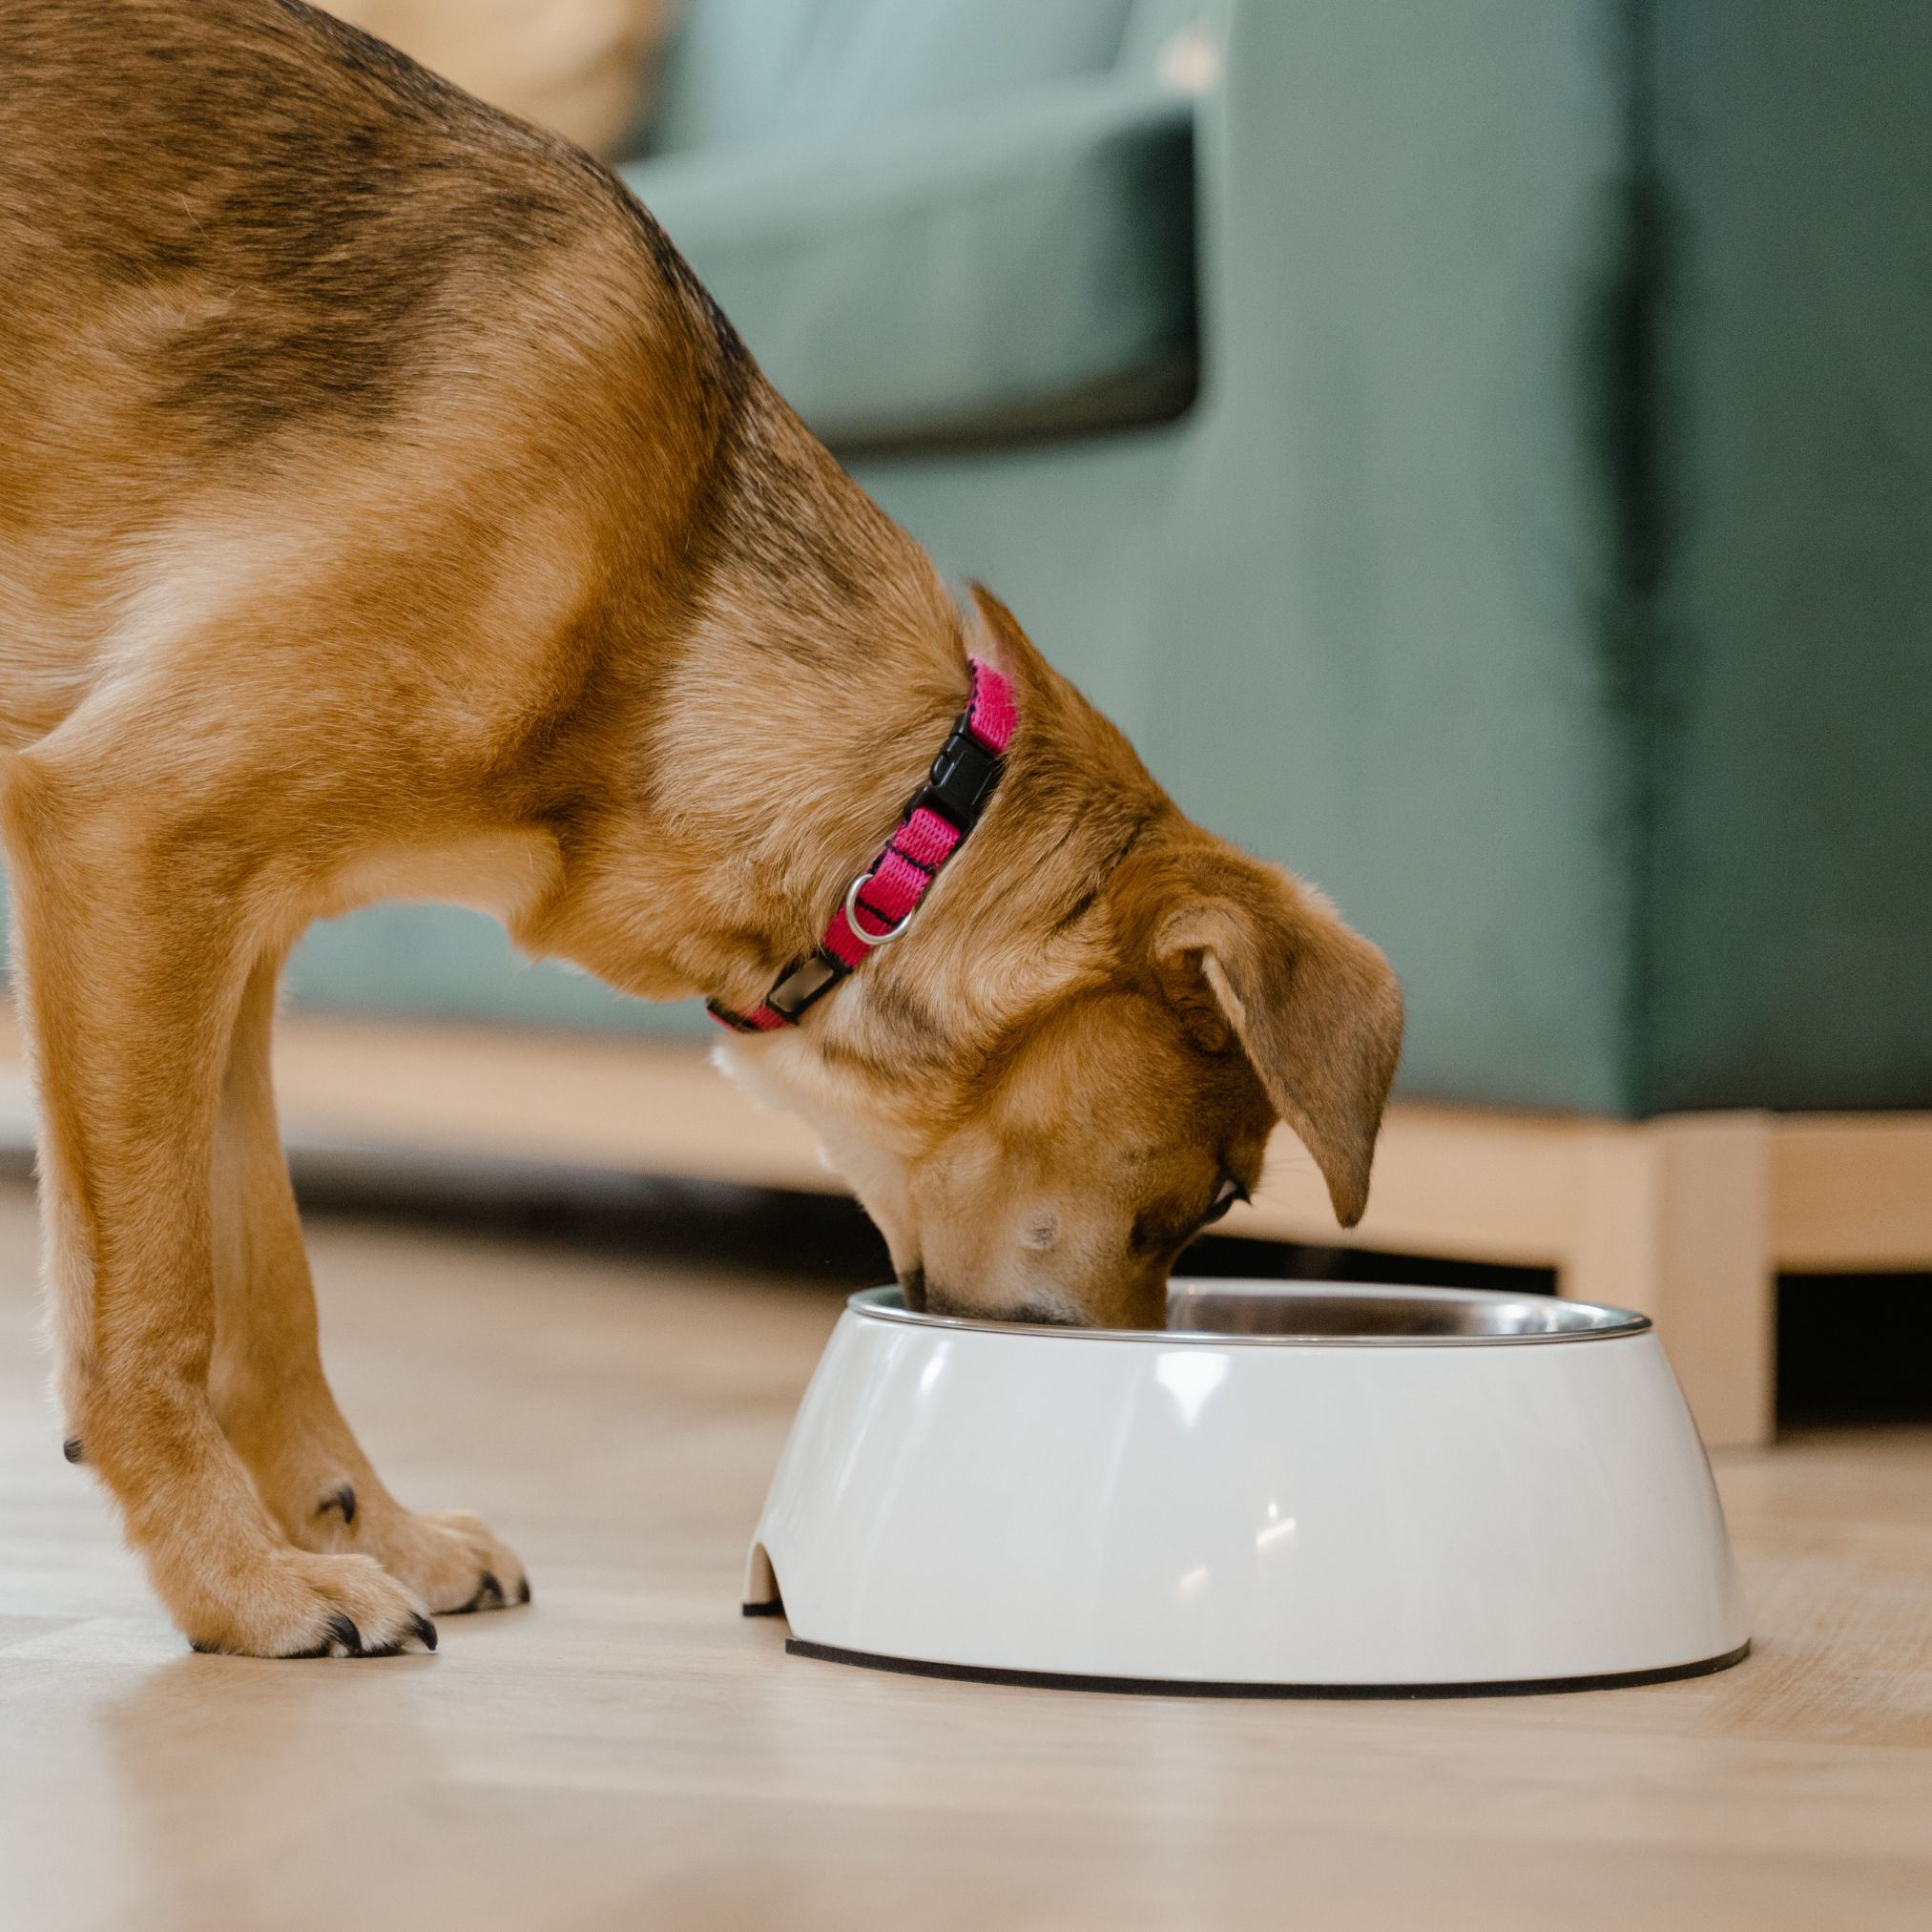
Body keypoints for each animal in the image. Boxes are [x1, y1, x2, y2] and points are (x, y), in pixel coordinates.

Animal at [0, 3, 1399, 1661]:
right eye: (1224, 1193)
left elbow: (267, 1284)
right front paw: (240, 1583)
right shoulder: (131, 842)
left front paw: (363, 1530)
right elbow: (153, 1302)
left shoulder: (228, 932)